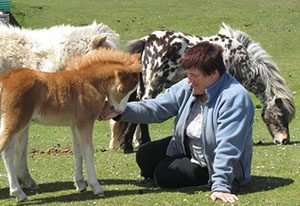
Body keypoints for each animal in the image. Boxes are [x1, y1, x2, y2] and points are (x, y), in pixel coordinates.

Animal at [109, 23, 292, 152]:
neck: (237, 58)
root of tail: (148, 39)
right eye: (281, 115)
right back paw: (135, 144)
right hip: (153, 84)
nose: (285, 140)